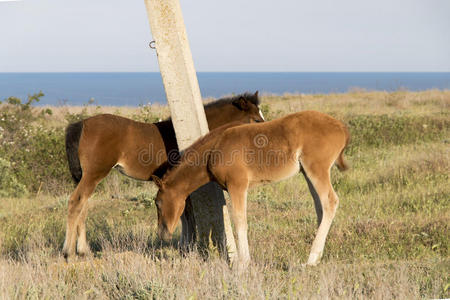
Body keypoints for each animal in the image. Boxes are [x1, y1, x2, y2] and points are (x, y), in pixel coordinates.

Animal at [62, 92, 266, 260]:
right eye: (257, 120)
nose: (263, 140)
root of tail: (81, 124)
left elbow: (183, 212)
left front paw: (185, 246)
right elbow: (186, 212)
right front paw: (187, 247)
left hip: (85, 176)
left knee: (83, 205)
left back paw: (83, 250)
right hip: (94, 174)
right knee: (75, 202)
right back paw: (69, 252)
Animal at [153, 110, 350, 270]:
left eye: (158, 202)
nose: (162, 234)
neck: (215, 149)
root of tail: (341, 127)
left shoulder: (238, 185)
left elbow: (240, 221)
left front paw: (243, 263)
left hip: (316, 169)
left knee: (330, 202)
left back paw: (311, 259)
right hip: (308, 173)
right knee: (320, 207)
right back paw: (316, 258)